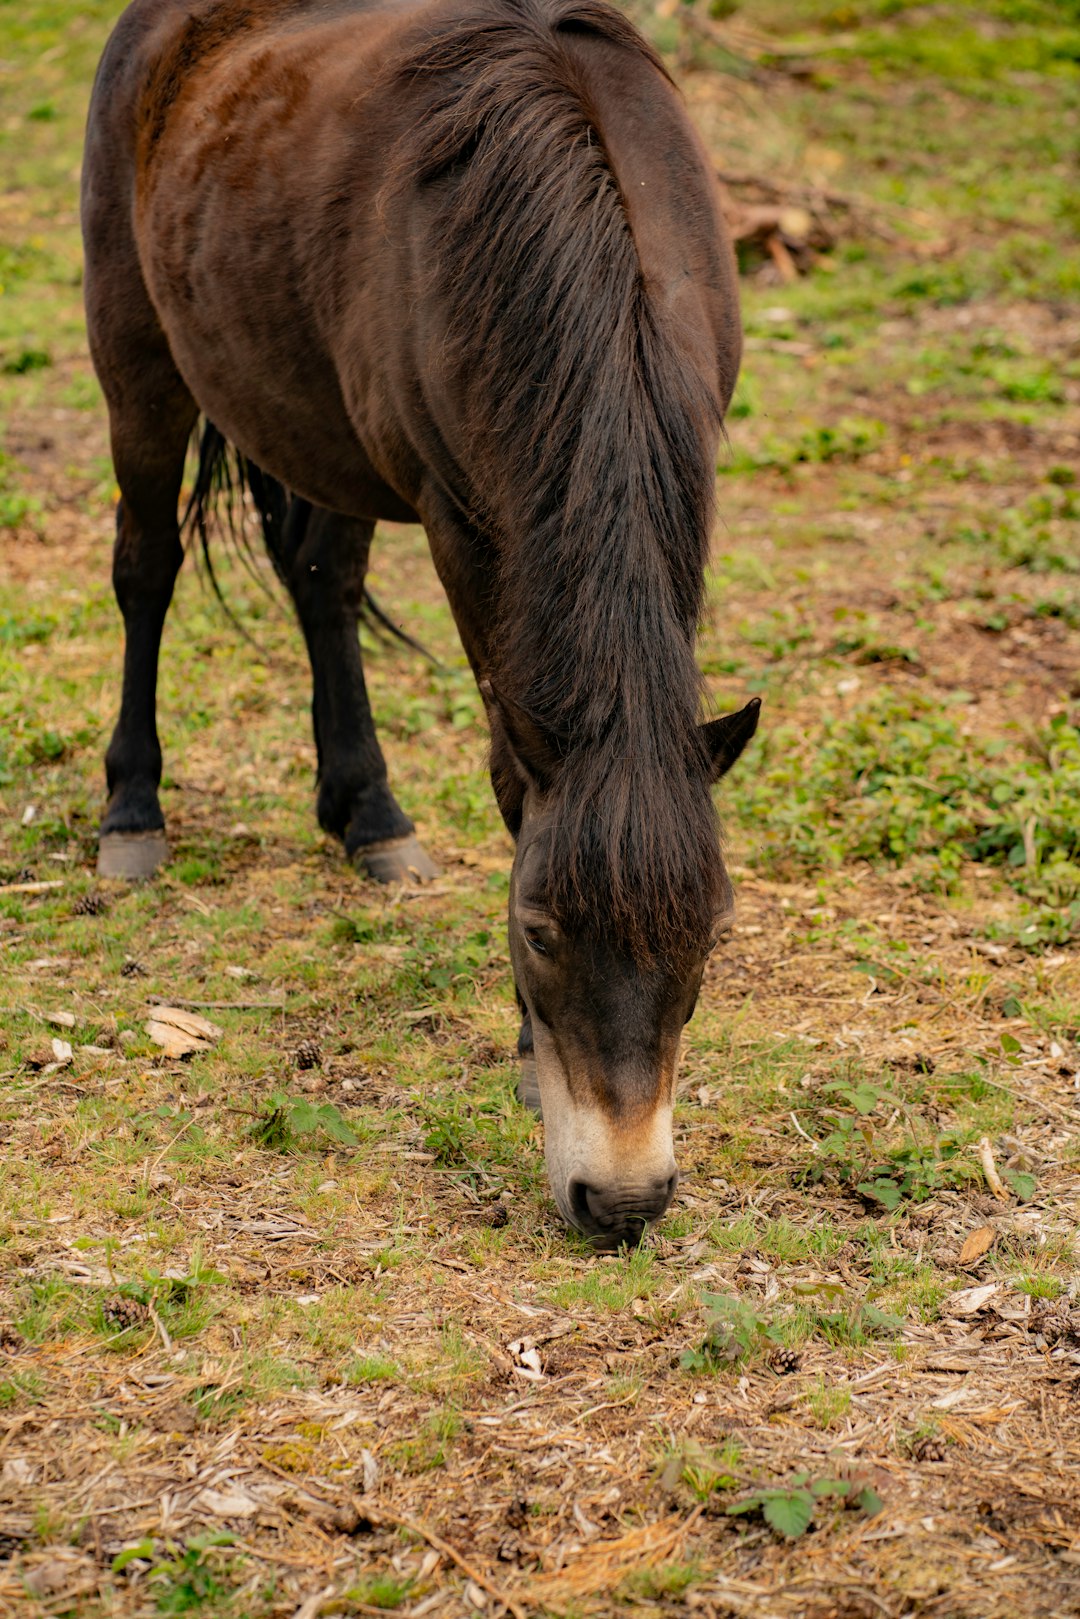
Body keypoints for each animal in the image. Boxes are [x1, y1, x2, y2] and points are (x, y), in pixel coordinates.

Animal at [82, 0, 761, 1243]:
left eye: (710, 928)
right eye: (537, 926)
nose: (622, 1198)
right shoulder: (463, 519)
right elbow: (509, 773)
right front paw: (527, 1050)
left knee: (321, 577)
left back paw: (370, 814)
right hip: (136, 350)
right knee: (146, 566)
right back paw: (132, 811)